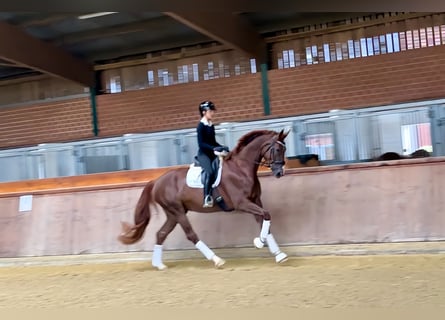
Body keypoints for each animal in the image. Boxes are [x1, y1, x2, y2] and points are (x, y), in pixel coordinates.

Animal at [117, 129, 288, 268]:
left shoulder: (255, 201)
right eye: (277, 149)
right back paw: (217, 260)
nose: (280, 172)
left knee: (161, 233)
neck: (241, 169)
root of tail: (156, 181)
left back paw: (159, 265)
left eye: (285, 149)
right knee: (191, 235)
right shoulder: (243, 203)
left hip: (173, 213)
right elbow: (266, 215)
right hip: (177, 211)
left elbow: (265, 221)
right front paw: (259, 243)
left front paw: (278, 254)